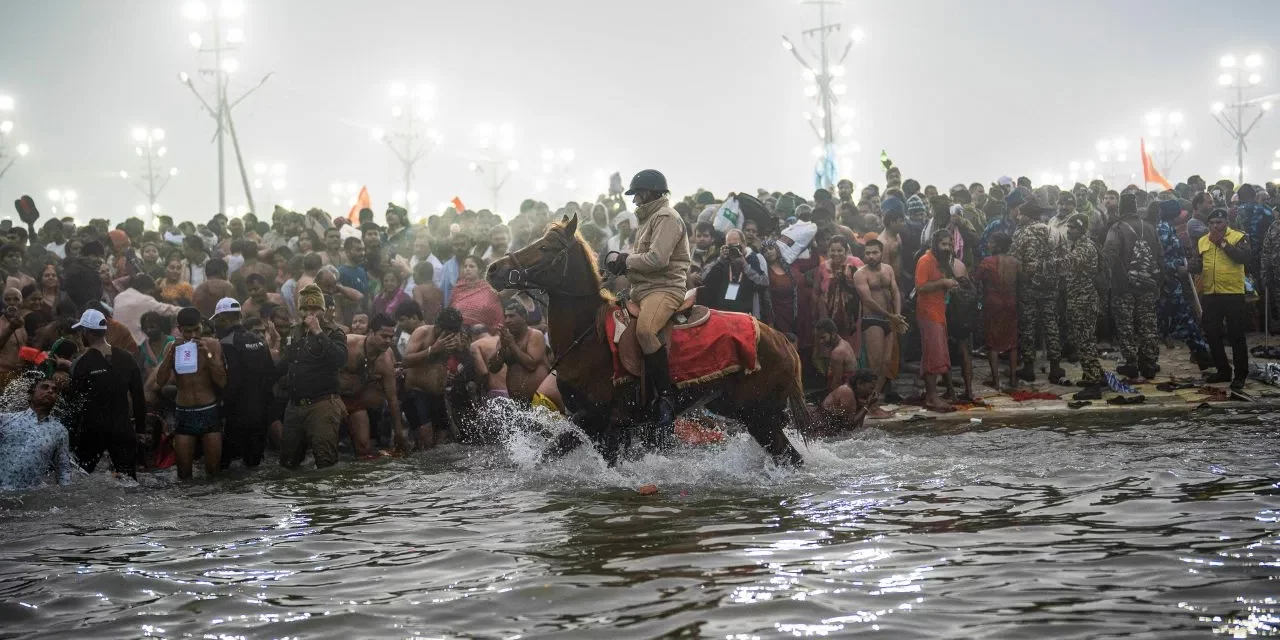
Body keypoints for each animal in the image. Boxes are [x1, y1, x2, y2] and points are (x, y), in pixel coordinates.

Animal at [483, 215, 803, 465]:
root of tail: (781, 339)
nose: (494, 269)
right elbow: (547, 454)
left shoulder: (606, 421)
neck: (587, 338)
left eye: (545, 247)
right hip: (744, 411)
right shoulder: (590, 422)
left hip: (759, 415)